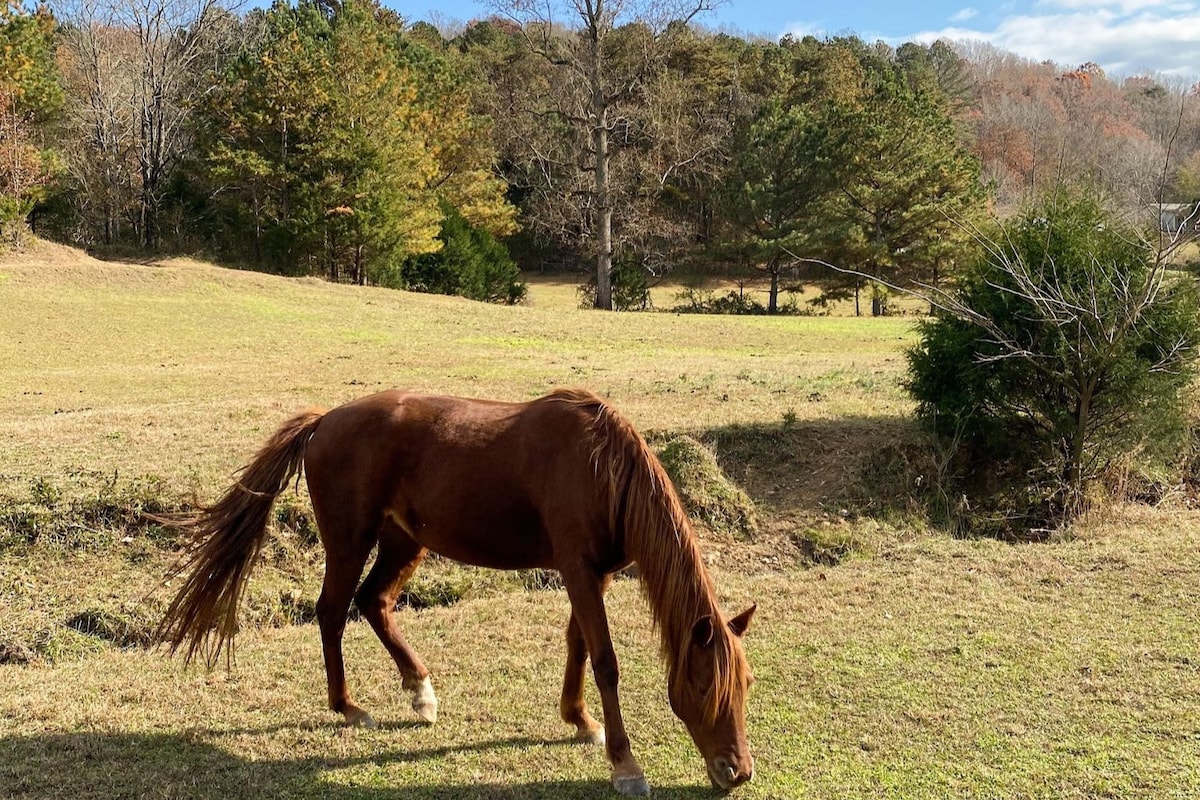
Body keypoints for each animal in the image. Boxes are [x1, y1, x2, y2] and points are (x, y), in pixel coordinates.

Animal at [158, 388, 753, 796]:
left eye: (745, 685)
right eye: (705, 686)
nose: (737, 771)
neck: (601, 470)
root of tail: (325, 420)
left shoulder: (595, 573)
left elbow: (578, 645)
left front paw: (579, 721)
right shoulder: (579, 570)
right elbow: (605, 659)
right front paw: (625, 764)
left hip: (403, 540)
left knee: (374, 603)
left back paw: (419, 690)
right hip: (351, 540)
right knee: (332, 611)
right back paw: (348, 707)